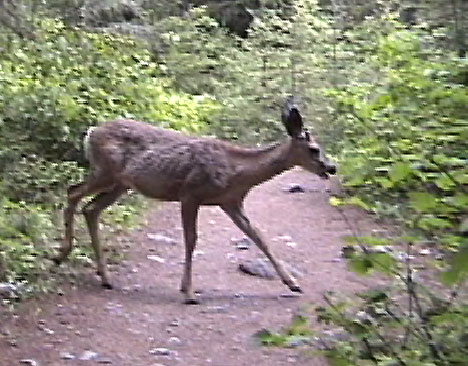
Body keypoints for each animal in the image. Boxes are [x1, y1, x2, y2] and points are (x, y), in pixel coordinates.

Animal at [54, 100, 336, 304]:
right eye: (314, 149)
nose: (331, 167)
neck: (237, 171)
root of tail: (91, 132)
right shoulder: (190, 194)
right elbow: (191, 240)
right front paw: (188, 292)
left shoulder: (231, 202)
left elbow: (259, 237)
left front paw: (293, 284)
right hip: (105, 171)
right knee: (73, 192)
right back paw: (62, 254)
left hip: (121, 184)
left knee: (91, 208)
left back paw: (105, 277)